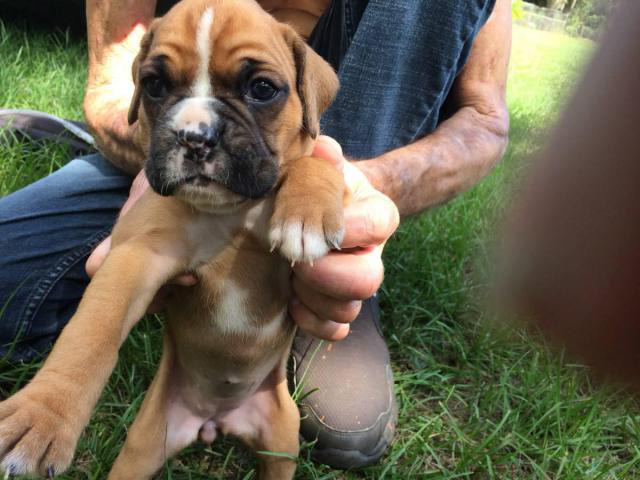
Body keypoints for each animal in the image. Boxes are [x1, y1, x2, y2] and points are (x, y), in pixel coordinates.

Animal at [0, 1, 344, 478]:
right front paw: (43, 413)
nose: (195, 136)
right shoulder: (136, 257)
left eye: (261, 88)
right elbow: (91, 333)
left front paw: (306, 212)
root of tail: (215, 421)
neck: (229, 212)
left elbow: (312, 161)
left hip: (283, 442)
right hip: (144, 444)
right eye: (154, 86)